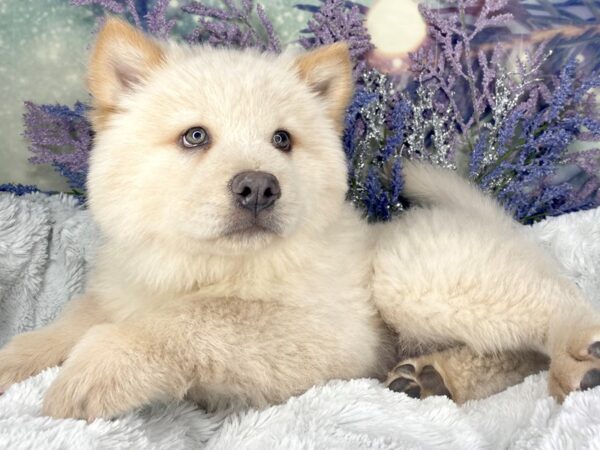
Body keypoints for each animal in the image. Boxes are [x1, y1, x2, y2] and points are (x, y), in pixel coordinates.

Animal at [1, 16, 600, 418]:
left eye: (282, 140)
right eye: (195, 136)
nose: (259, 187)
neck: (202, 267)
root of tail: (498, 223)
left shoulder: (326, 335)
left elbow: (197, 321)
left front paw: (98, 368)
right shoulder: (118, 291)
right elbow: (68, 324)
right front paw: (15, 362)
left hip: (415, 274)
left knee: (559, 309)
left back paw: (578, 358)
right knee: (514, 354)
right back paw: (431, 376)